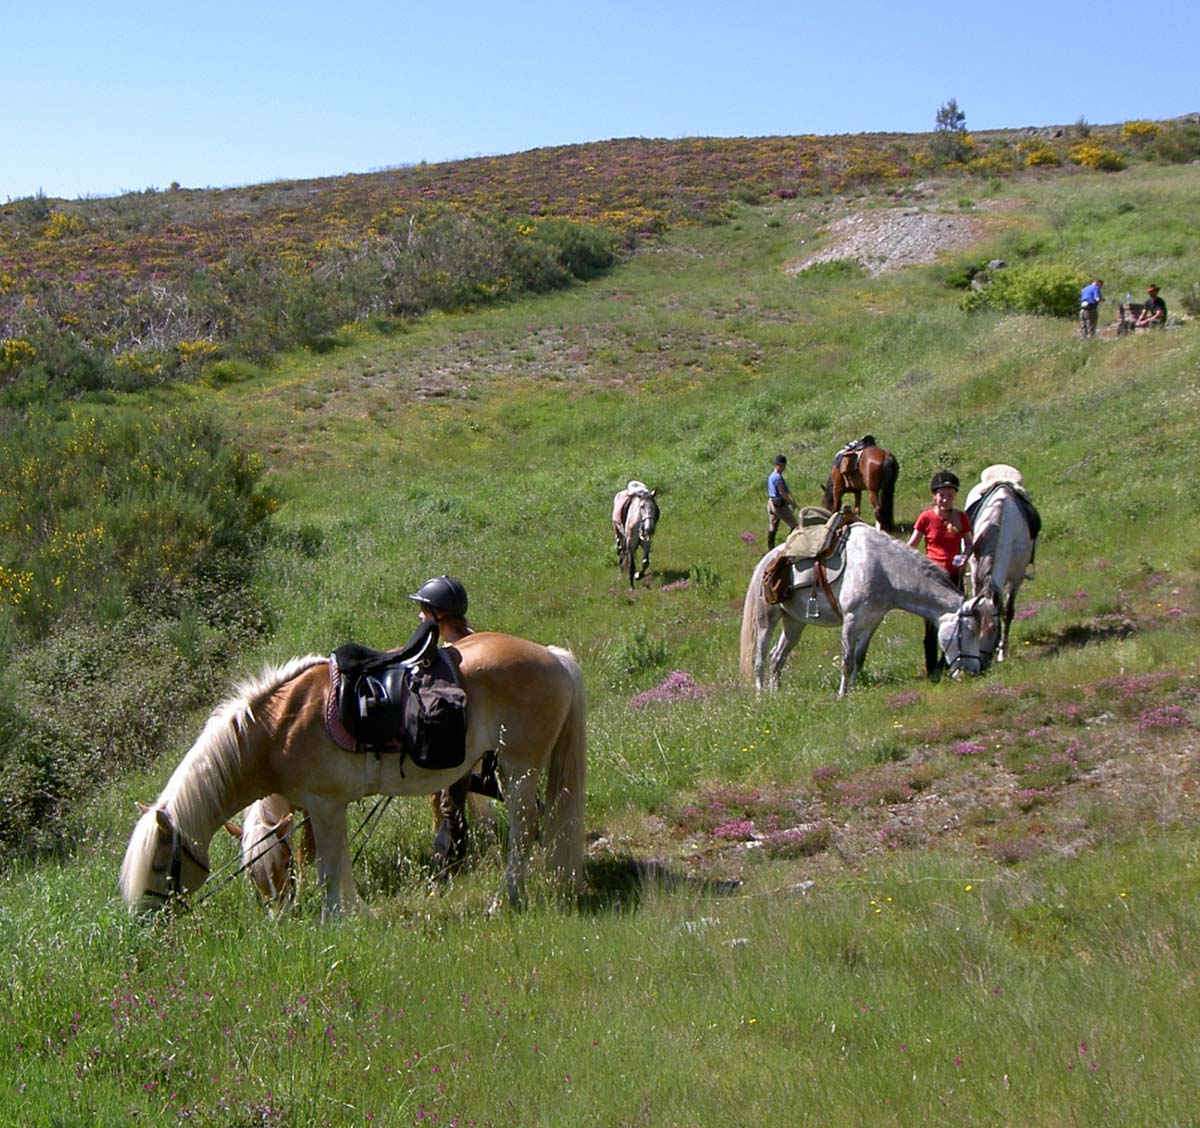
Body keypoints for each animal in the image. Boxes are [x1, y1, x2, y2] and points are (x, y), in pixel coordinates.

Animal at [969, 465, 1036, 667]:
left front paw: (1002, 652)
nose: (982, 664)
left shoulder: (1017, 577)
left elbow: (1007, 612)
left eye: (993, 630)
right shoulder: (975, 572)